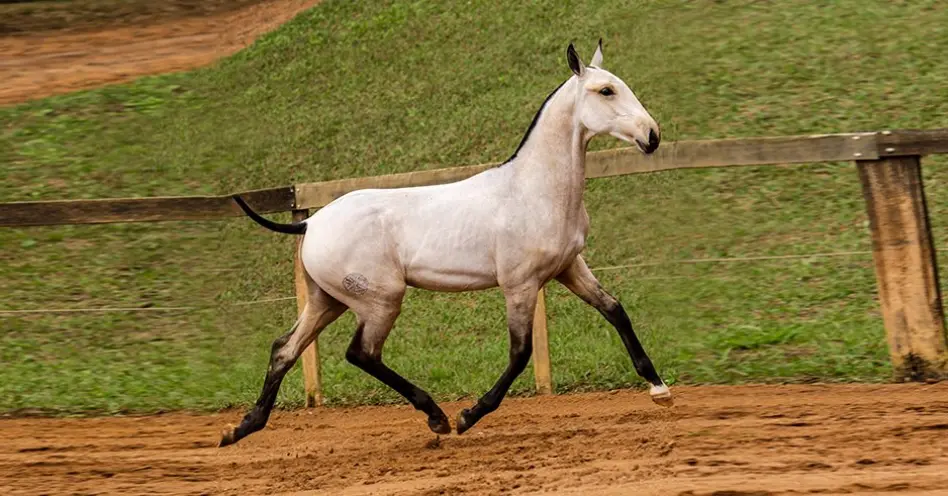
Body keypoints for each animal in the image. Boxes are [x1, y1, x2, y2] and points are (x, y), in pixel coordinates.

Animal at [220, 40, 672, 448]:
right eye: (606, 90)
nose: (652, 135)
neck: (533, 190)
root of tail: (311, 222)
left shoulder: (568, 267)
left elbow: (614, 310)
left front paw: (659, 389)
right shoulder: (520, 284)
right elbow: (520, 353)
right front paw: (469, 415)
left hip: (326, 300)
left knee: (285, 349)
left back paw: (239, 430)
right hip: (380, 300)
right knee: (360, 353)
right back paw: (437, 417)